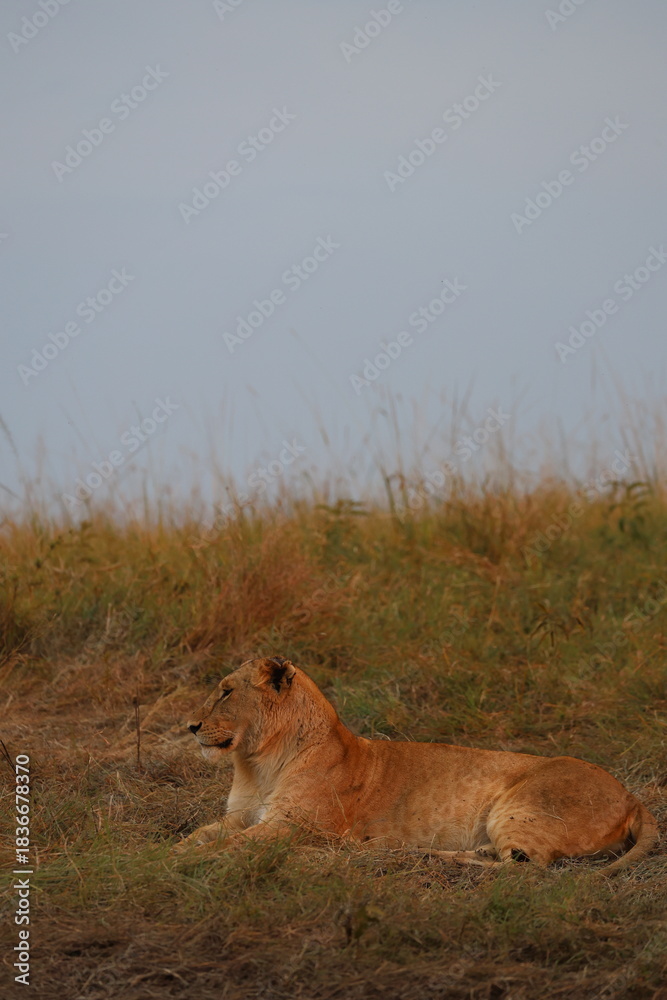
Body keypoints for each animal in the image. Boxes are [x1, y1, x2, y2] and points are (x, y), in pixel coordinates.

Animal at [175, 656, 658, 872]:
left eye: (225, 691)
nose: (190, 726)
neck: (258, 762)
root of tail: (632, 795)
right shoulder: (242, 816)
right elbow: (203, 834)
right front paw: (168, 850)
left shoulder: (291, 825)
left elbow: (231, 845)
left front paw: (182, 862)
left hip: (518, 806)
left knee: (525, 866)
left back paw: (387, 851)